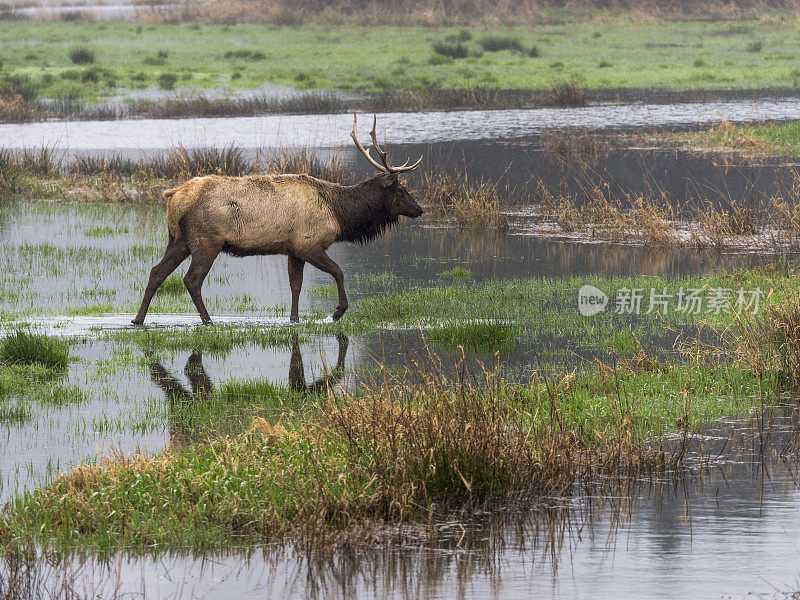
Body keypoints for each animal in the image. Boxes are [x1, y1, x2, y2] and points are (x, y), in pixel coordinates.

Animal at [131, 115, 422, 326]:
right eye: (400, 190)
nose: (419, 209)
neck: (339, 214)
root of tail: (173, 196)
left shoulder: (293, 249)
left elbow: (296, 285)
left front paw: (294, 318)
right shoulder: (309, 243)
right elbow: (338, 271)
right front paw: (338, 311)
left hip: (178, 239)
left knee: (156, 272)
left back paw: (138, 318)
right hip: (206, 240)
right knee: (191, 279)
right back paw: (207, 320)